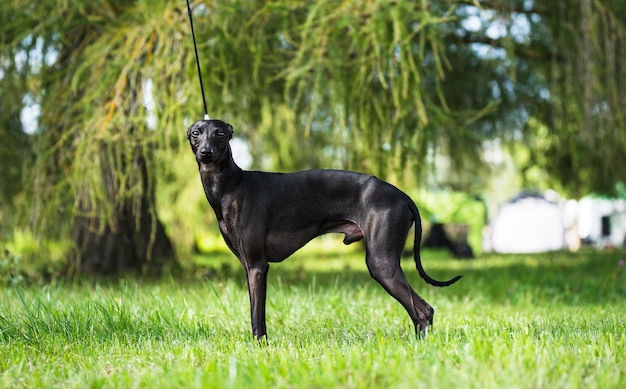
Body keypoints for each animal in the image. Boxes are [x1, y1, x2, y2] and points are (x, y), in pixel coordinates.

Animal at [185, 119, 458, 340]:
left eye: (220, 133)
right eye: (196, 133)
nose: (206, 153)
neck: (231, 185)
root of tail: (402, 195)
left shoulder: (257, 266)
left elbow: (257, 317)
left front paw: (260, 346)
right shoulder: (247, 265)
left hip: (382, 263)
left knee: (422, 310)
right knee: (421, 311)